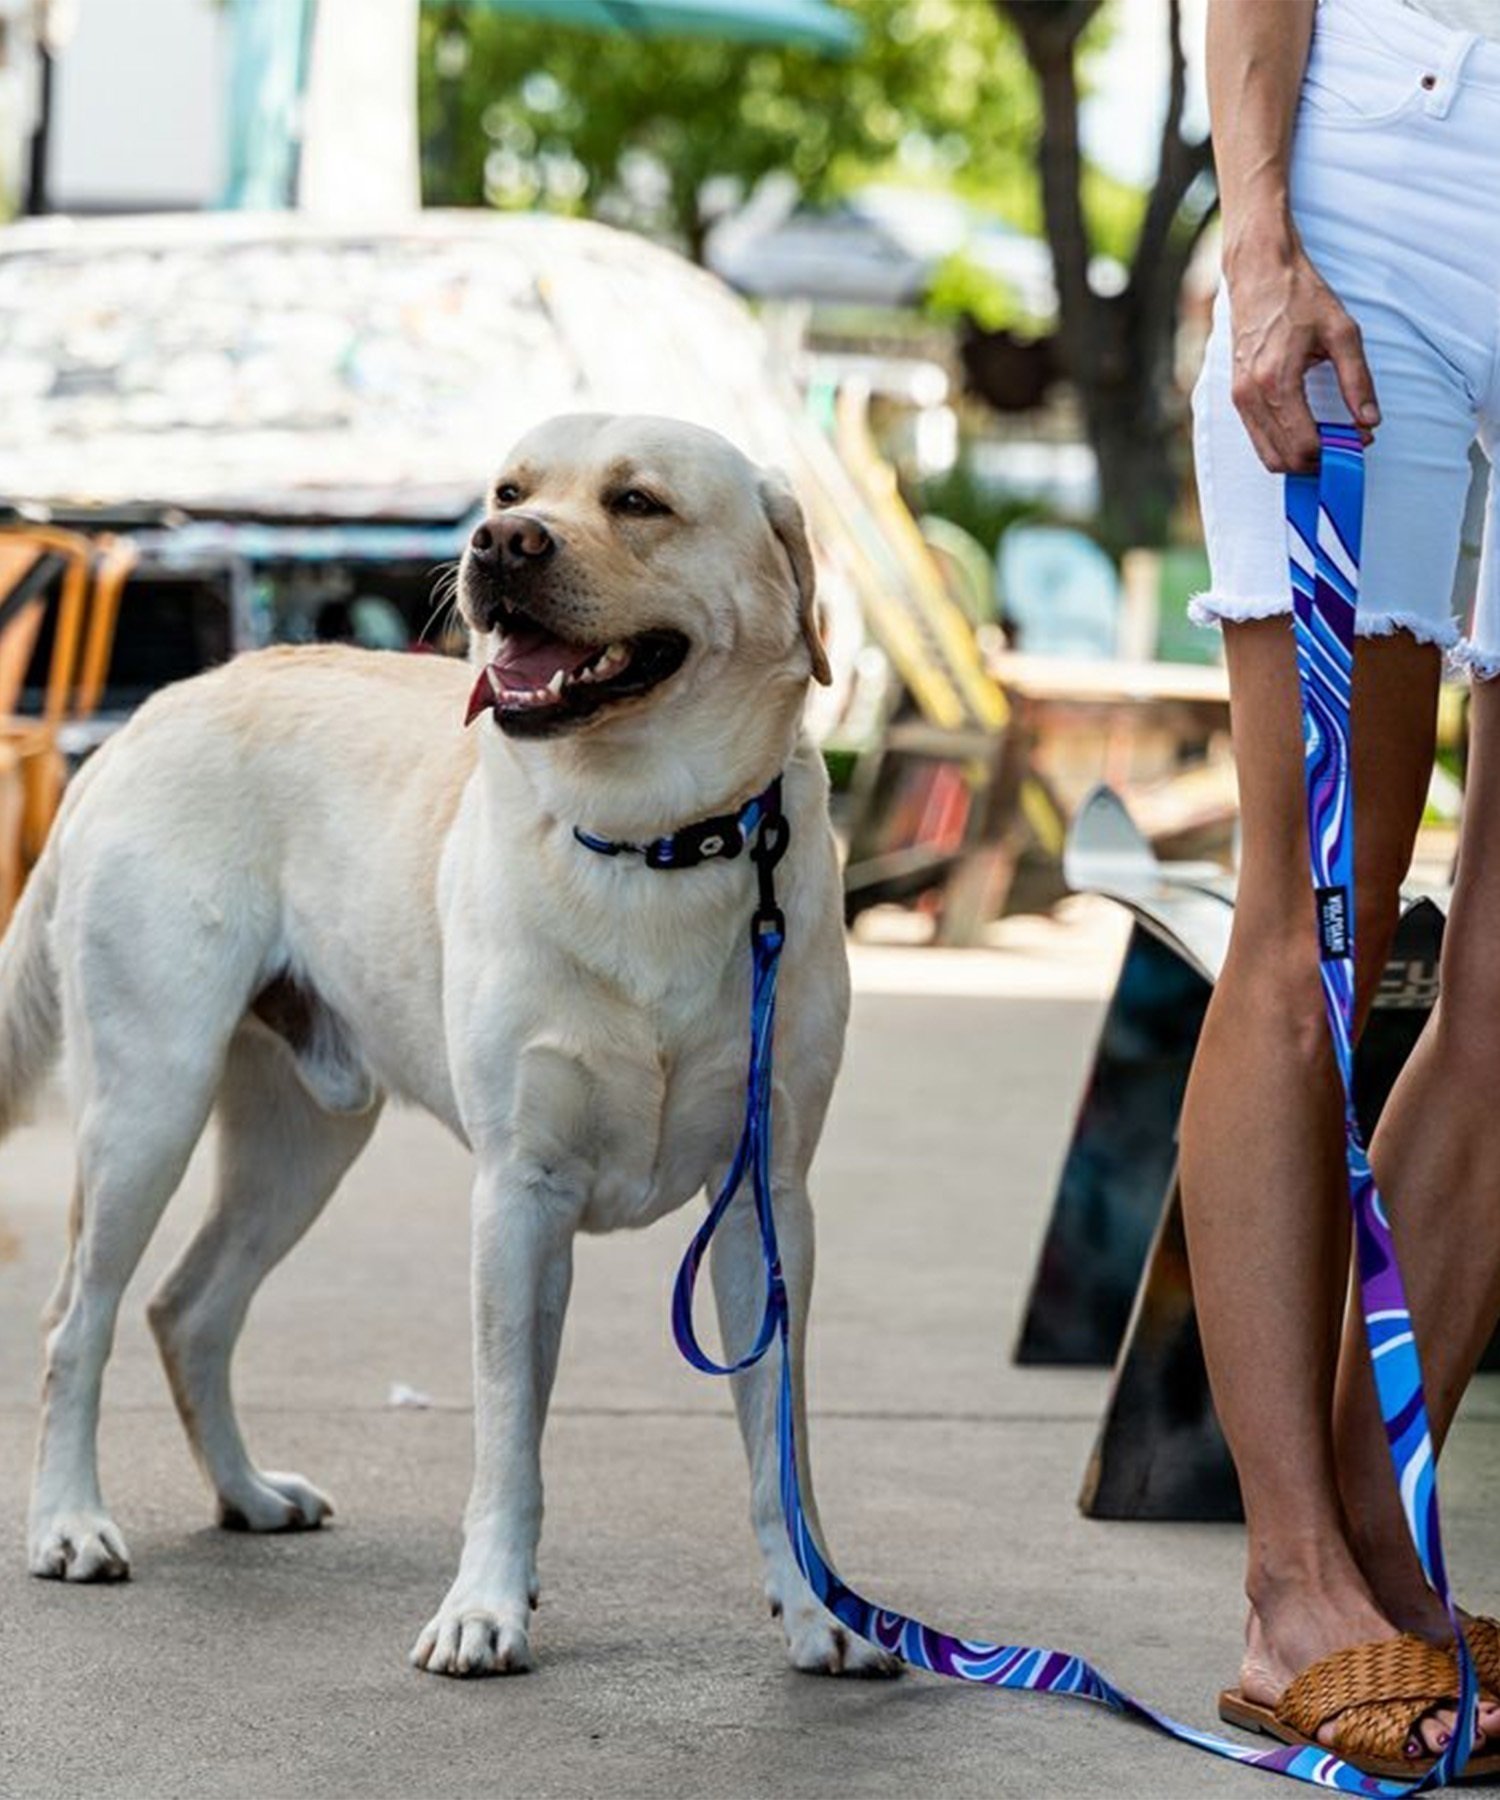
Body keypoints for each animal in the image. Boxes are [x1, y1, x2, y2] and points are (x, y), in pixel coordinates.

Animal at [0, 414, 896, 1677]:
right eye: (510, 491)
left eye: (638, 502)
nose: (498, 543)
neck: (653, 841)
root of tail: (153, 712)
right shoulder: (518, 1198)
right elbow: (509, 1438)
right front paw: (486, 1608)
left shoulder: (767, 1202)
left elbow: (782, 1446)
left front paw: (821, 1610)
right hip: (147, 1108)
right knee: (75, 1322)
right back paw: (70, 1523)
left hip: (303, 1140)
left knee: (189, 1308)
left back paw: (248, 1495)